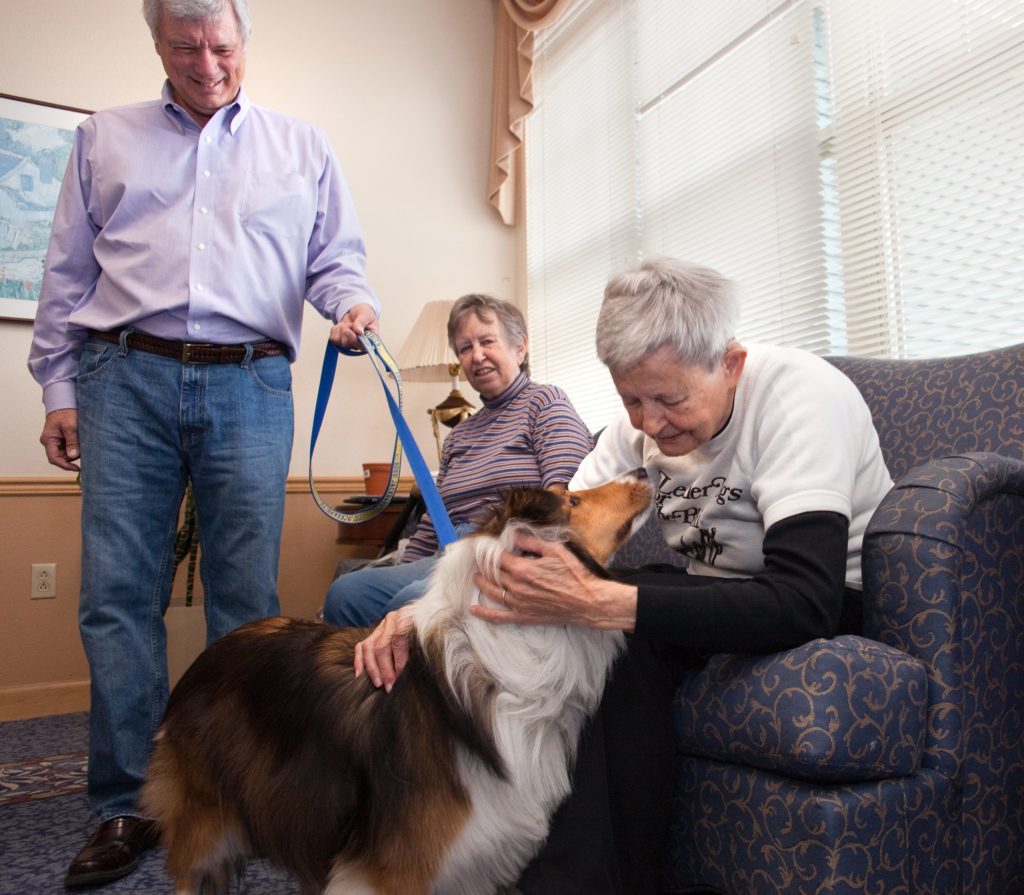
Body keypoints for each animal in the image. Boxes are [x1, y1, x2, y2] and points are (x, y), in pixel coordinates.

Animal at [140, 471, 651, 888]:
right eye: (573, 501)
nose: (643, 471)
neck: (505, 653)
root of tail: (212, 651)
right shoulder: (394, 868)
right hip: (205, 821)